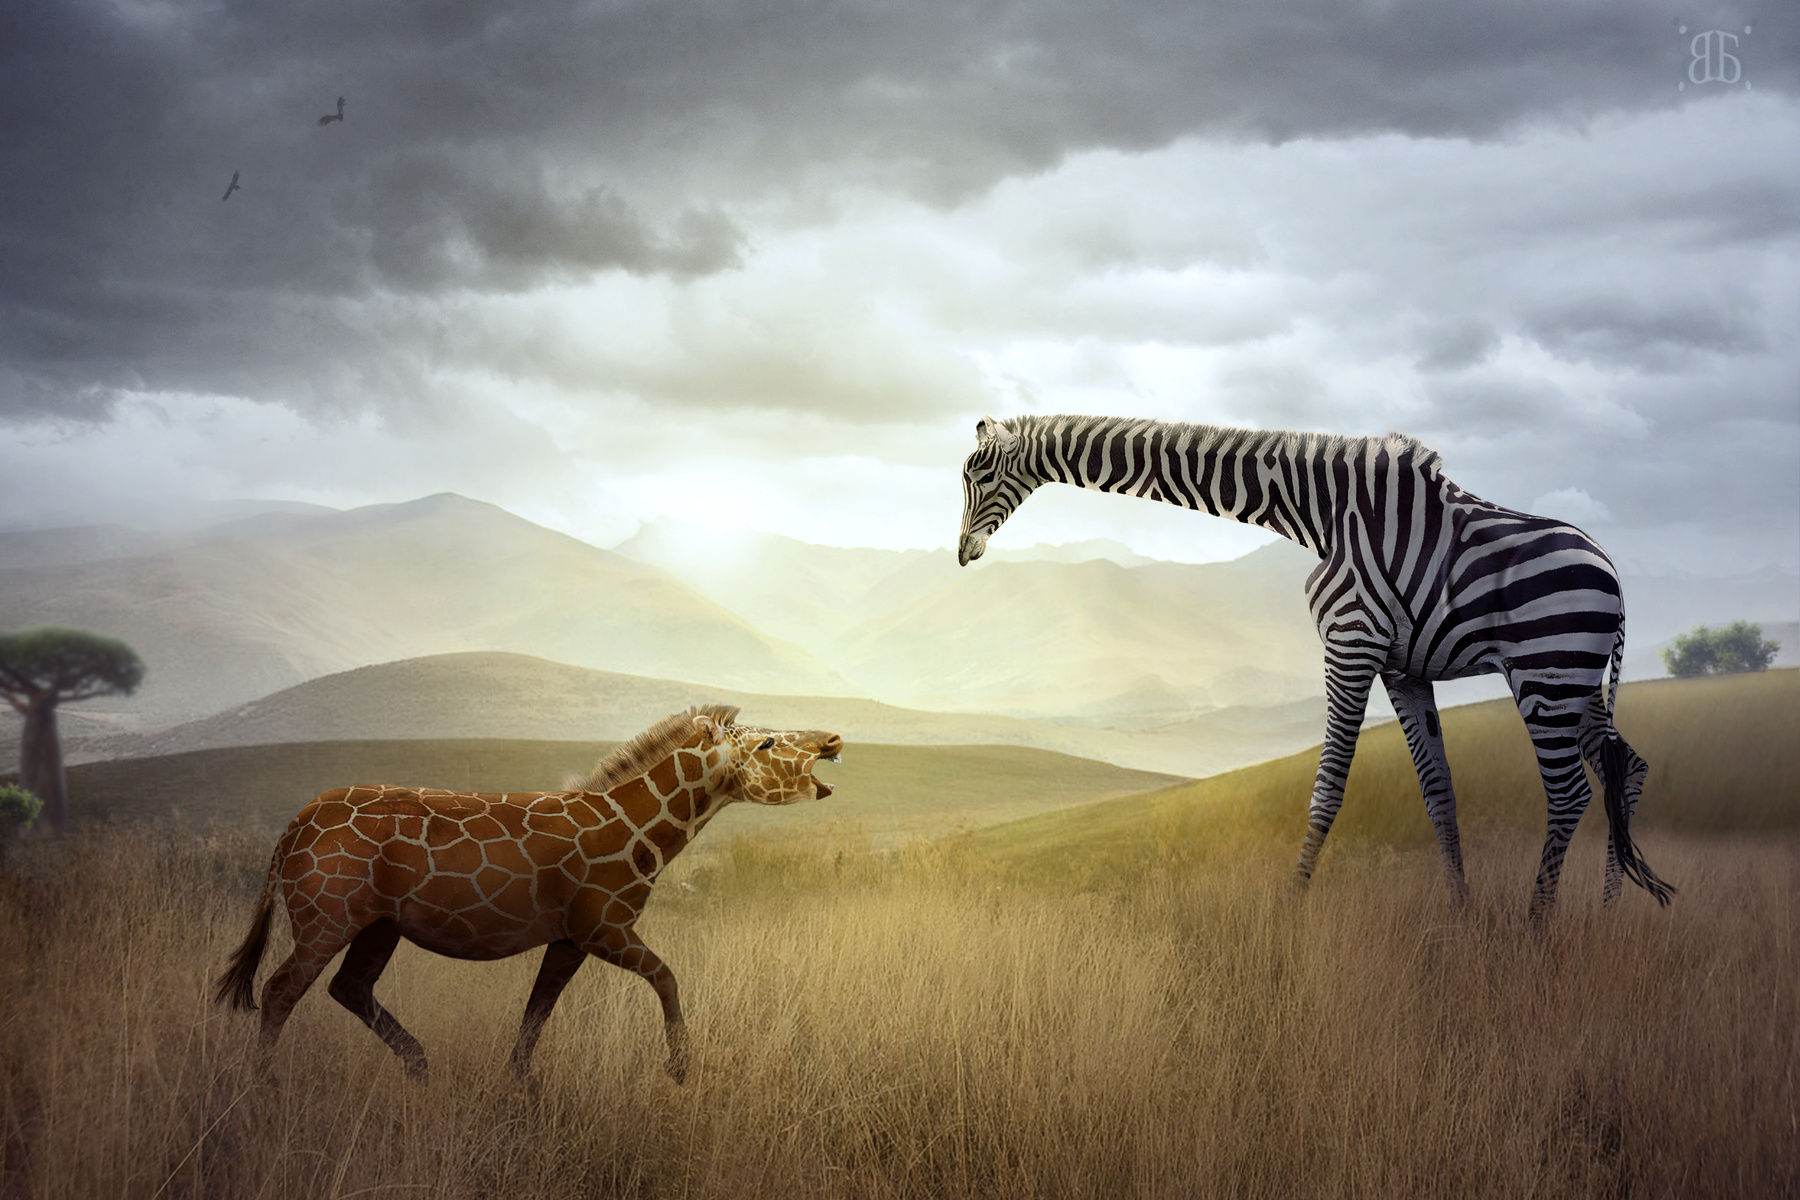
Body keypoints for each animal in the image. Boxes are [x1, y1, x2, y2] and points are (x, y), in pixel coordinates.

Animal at [214, 705, 842, 1085]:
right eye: (765, 743)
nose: (834, 738)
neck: (639, 832)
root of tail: (295, 825)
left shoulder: (569, 938)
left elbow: (536, 1014)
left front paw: (521, 1088)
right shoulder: (602, 927)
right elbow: (666, 976)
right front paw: (681, 1069)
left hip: (377, 926)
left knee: (348, 988)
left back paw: (420, 1068)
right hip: (326, 918)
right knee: (279, 990)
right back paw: (267, 1088)